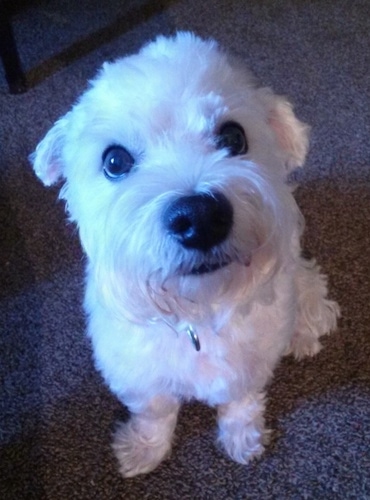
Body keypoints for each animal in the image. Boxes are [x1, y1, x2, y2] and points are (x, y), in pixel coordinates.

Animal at [30, 31, 340, 476]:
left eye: (233, 137)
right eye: (114, 160)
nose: (201, 217)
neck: (198, 309)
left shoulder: (249, 364)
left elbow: (241, 401)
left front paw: (241, 437)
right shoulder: (138, 373)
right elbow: (155, 412)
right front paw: (143, 449)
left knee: (308, 284)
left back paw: (304, 330)